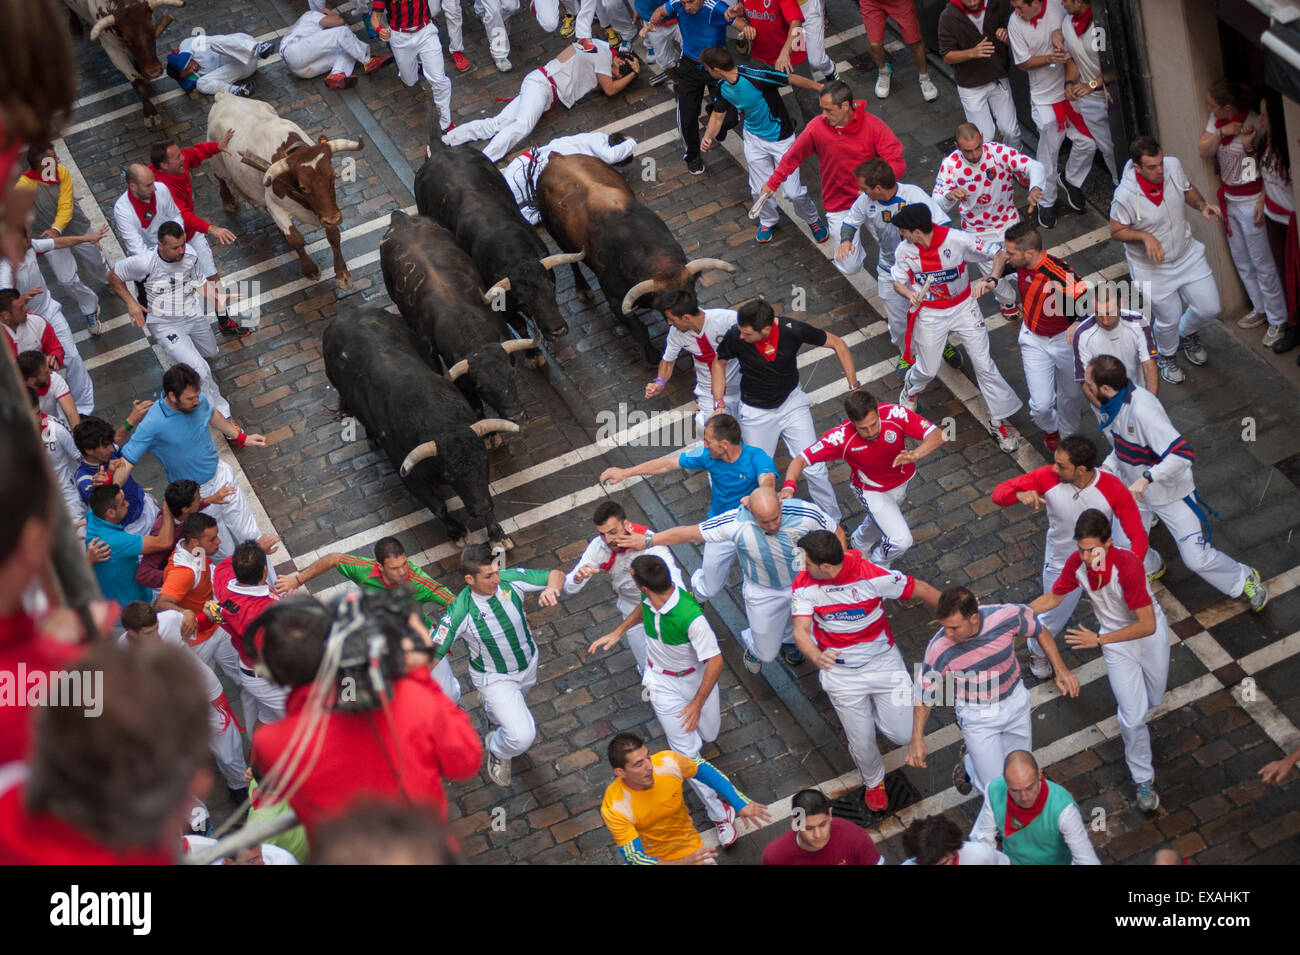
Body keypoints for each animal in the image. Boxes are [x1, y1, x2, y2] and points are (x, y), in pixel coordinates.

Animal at [322, 311, 520, 553]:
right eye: (449, 475)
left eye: (484, 461)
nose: (480, 509)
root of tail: (347, 313)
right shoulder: (408, 475)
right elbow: (438, 506)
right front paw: (458, 532)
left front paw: (497, 534)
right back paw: (371, 437)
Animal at [527, 153, 733, 361]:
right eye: (667, 307)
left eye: (694, 299)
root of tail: (557, 158)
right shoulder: (616, 301)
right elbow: (639, 330)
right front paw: (652, 356)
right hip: (555, 234)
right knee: (571, 261)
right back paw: (583, 289)